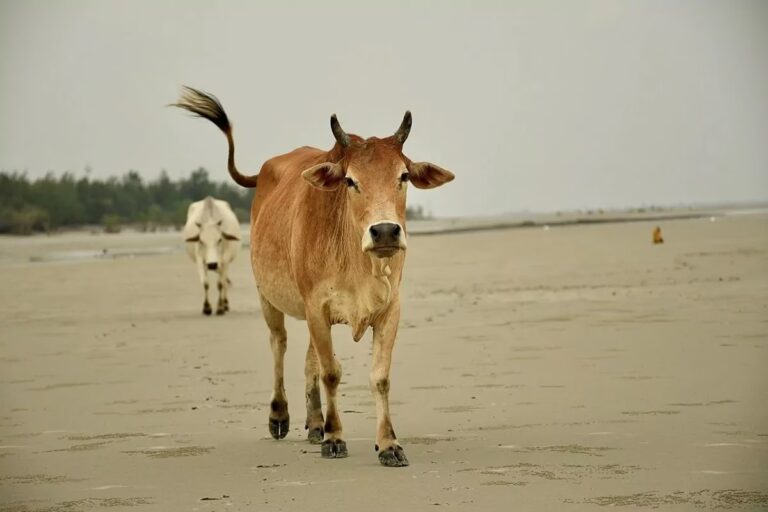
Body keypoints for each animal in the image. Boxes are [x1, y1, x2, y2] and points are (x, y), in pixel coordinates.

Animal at [172, 86, 454, 467]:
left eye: (404, 177)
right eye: (350, 180)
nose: (384, 232)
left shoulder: (389, 310)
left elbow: (378, 377)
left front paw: (388, 444)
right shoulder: (316, 308)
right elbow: (331, 373)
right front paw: (335, 439)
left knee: (310, 362)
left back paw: (316, 421)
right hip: (269, 298)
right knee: (279, 345)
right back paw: (280, 415)